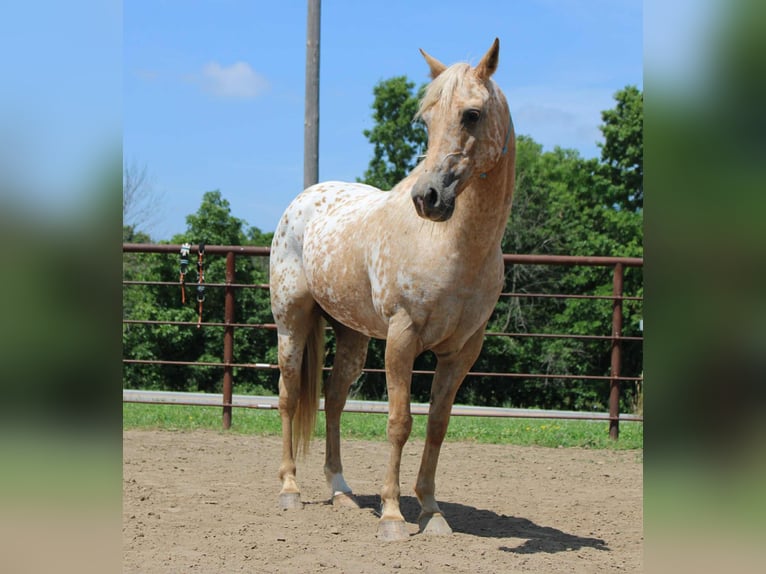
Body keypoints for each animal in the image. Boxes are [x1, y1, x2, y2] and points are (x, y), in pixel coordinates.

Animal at [269, 38, 515, 541]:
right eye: (426, 120)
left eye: (472, 114)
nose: (428, 198)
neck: (454, 247)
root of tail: (301, 202)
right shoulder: (403, 339)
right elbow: (399, 423)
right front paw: (392, 515)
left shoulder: (462, 351)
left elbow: (437, 425)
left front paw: (431, 511)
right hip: (291, 325)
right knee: (287, 396)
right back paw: (290, 490)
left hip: (352, 336)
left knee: (334, 401)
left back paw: (341, 490)